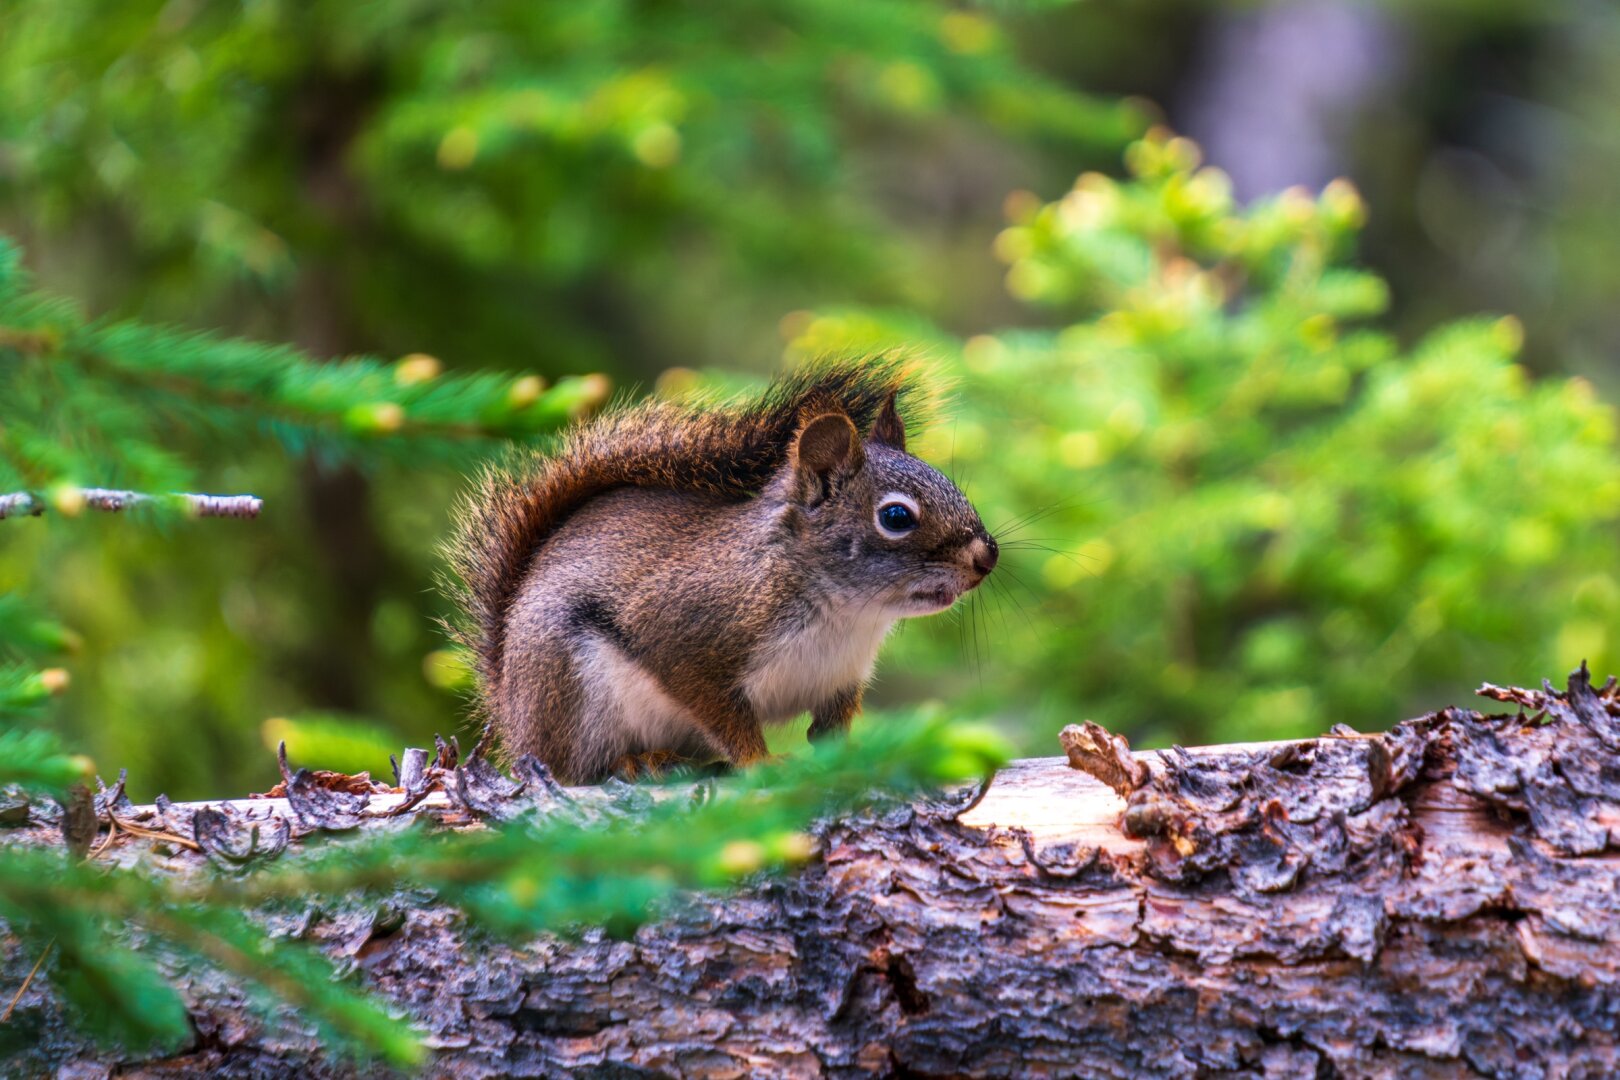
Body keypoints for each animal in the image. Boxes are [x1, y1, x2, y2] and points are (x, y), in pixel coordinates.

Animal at [446, 359, 998, 784]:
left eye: (949, 481)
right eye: (897, 517)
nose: (987, 556)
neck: (845, 614)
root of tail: (511, 713)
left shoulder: (839, 679)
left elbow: (830, 732)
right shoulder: (689, 636)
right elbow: (725, 716)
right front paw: (761, 762)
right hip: (572, 691)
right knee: (572, 771)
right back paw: (637, 761)